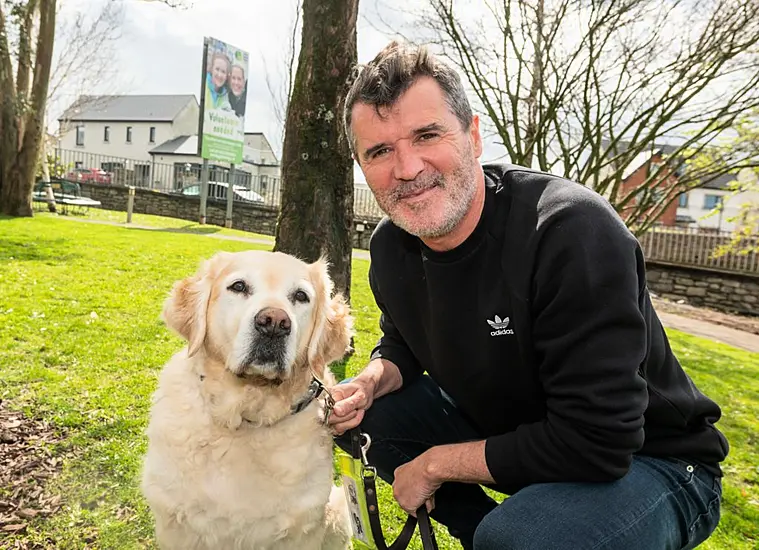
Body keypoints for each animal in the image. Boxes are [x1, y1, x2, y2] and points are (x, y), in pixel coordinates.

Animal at [142, 251, 354, 550]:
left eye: (301, 296)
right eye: (239, 286)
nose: (274, 322)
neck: (245, 417)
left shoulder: (301, 529)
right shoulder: (176, 525)